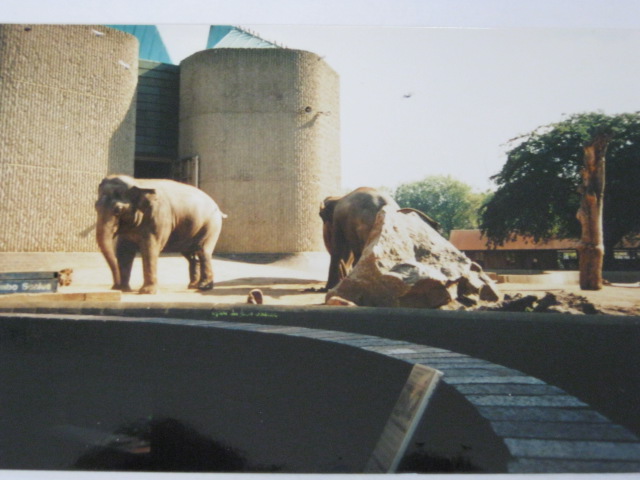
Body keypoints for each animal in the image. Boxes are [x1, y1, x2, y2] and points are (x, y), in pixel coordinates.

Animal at [95, 174, 226, 294]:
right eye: (95, 206)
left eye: (117, 210)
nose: (114, 287)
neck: (138, 183)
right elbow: (124, 250)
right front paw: (124, 290)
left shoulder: (159, 217)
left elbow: (149, 248)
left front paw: (146, 292)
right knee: (190, 255)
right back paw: (192, 285)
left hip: (211, 225)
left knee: (202, 251)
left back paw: (203, 287)